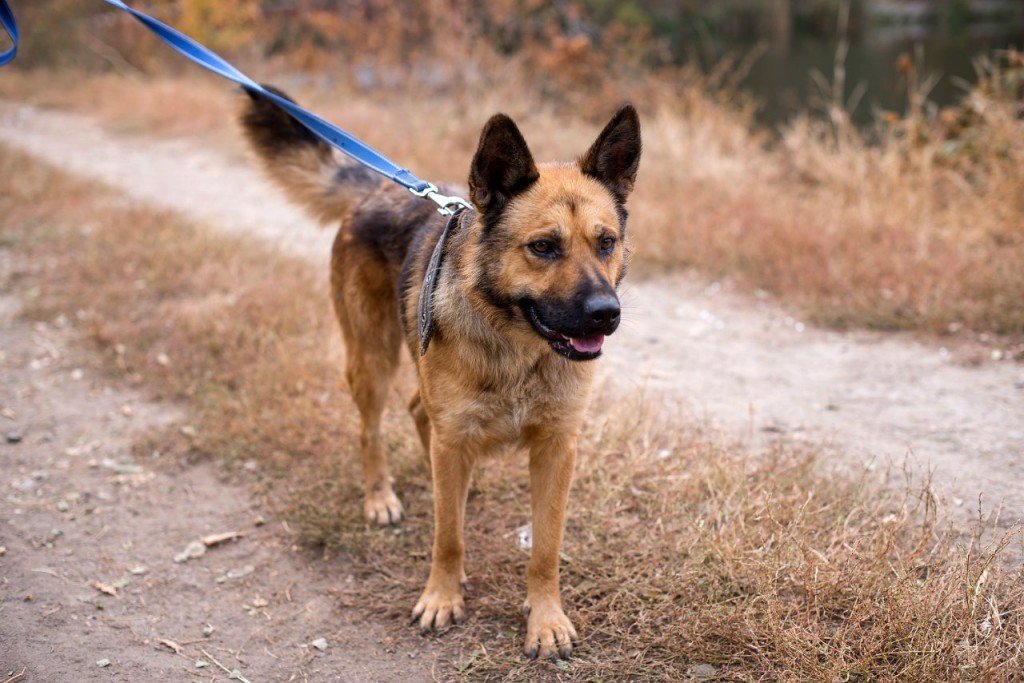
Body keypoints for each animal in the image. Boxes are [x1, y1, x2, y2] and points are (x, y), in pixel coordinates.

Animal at [239, 88, 638, 659]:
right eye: (543, 247)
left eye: (606, 242)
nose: (606, 313)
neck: (517, 349)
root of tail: (381, 187)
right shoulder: (455, 442)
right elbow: (448, 537)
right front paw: (442, 596)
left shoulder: (557, 449)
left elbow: (546, 548)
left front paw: (545, 619)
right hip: (373, 360)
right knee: (372, 430)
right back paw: (380, 498)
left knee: (418, 417)